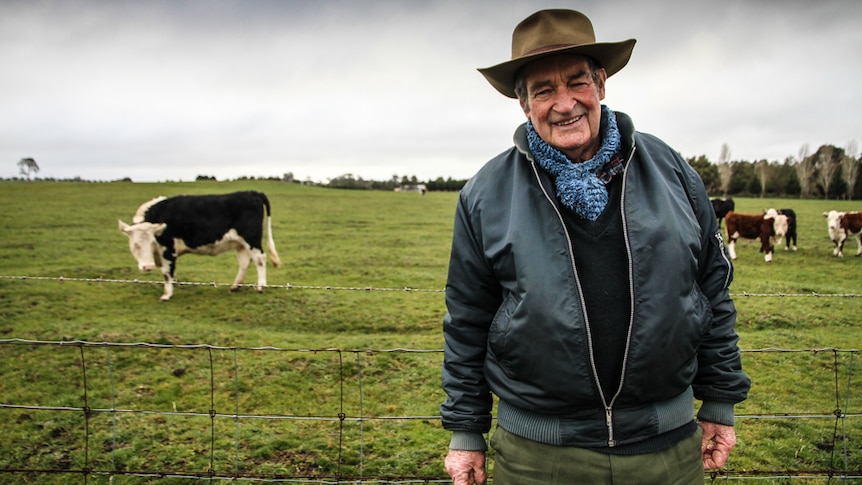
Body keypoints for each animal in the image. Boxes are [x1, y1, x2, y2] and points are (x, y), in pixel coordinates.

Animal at [116, 191, 280, 300]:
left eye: (152, 242)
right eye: (136, 245)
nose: (148, 267)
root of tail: (251, 193)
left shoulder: (168, 249)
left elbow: (167, 272)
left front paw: (167, 295)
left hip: (252, 240)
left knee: (260, 259)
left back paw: (260, 287)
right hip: (240, 243)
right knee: (245, 262)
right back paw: (235, 287)